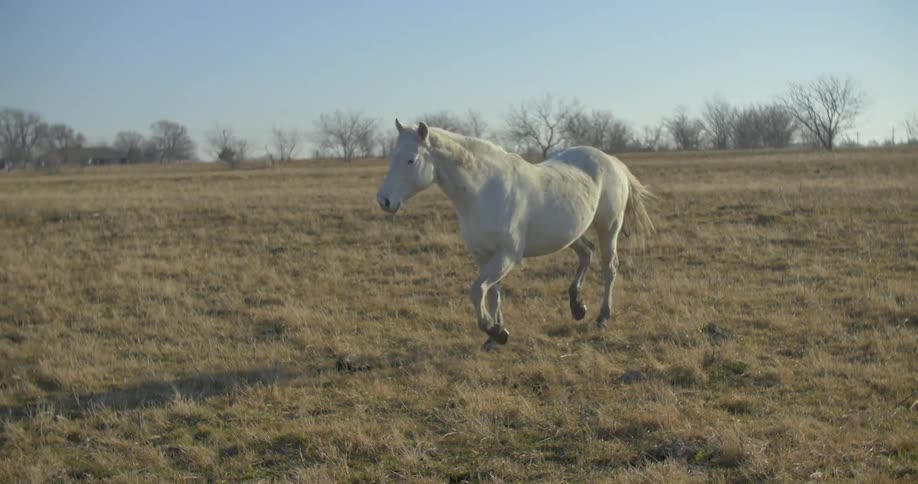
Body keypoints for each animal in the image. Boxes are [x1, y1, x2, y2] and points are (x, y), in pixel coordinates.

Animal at [376, 119, 654, 350]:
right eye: (393, 157)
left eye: (411, 160)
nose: (384, 201)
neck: (484, 190)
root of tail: (612, 161)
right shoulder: (484, 255)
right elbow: (492, 294)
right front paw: (494, 335)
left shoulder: (506, 256)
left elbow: (477, 291)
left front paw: (494, 331)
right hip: (570, 235)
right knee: (586, 253)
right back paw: (577, 307)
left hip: (609, 228)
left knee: (609, 268)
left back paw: (602, 318)